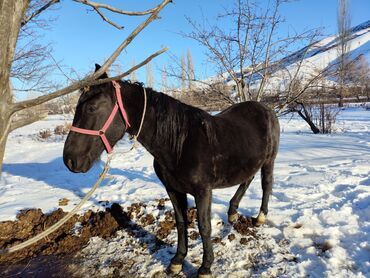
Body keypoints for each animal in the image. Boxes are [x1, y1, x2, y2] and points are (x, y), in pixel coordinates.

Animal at [63, 64, 278, 276]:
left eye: (91, 108)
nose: (70, 160)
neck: (180, 144)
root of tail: (266, 108)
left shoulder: (203, 191)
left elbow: (204, 227)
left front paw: (205, 267)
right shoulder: (173, 190)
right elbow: (181, 223)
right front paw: (177, 261)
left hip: (269, 160)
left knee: (266, 184)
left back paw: (260, 217)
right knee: (247, 179)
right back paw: (233, 212)